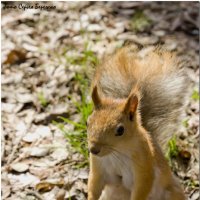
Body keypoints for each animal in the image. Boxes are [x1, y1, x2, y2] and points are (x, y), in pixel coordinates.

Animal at [86, 45, 188, 200]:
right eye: (88, 122)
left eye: (120, 130)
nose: (94, 149)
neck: (117, 152)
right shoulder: (98, 167)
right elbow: (94, 185)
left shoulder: (144, 168)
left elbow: (142, 187)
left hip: (172, 192)